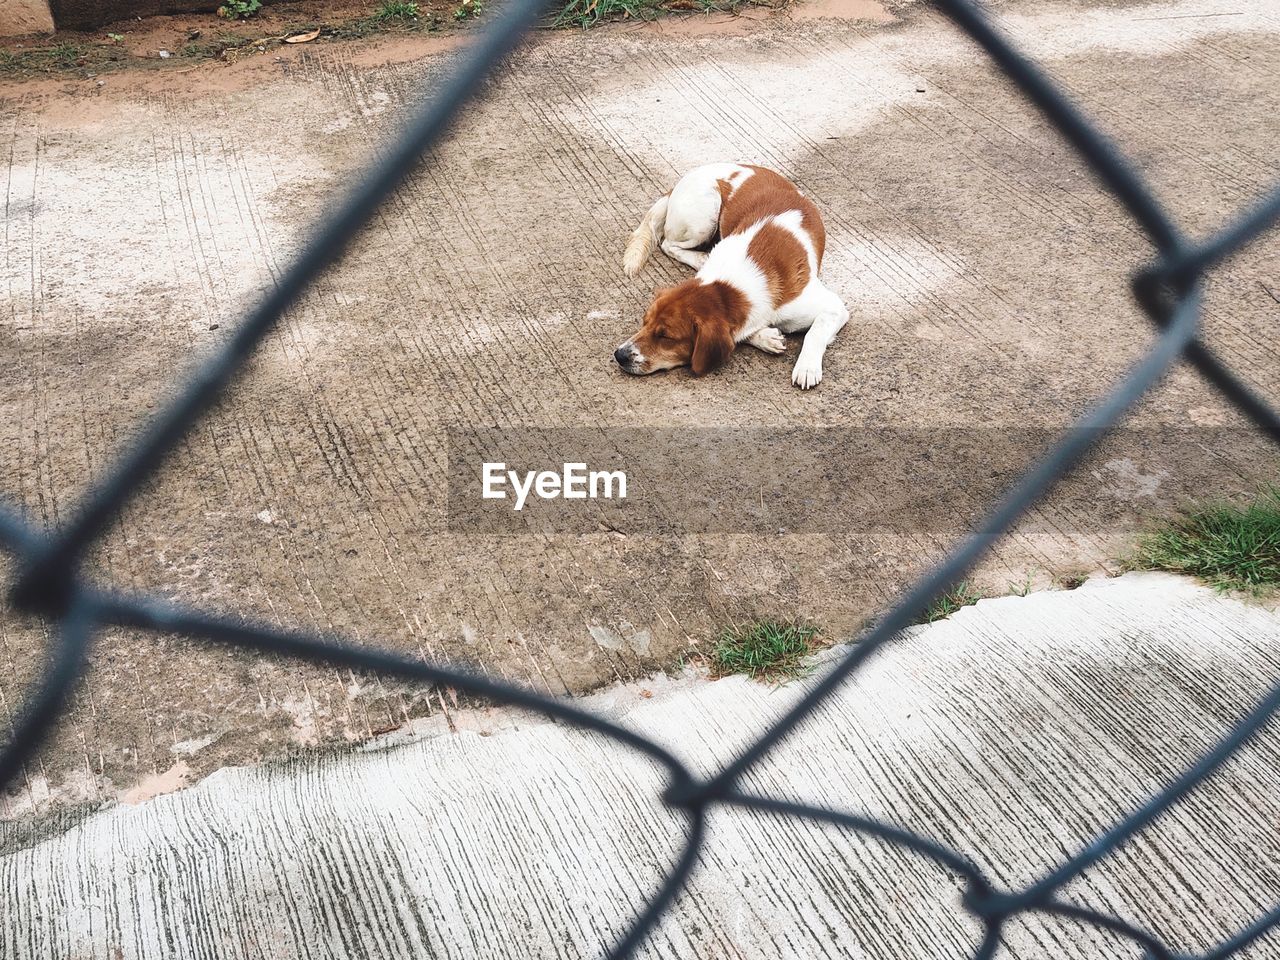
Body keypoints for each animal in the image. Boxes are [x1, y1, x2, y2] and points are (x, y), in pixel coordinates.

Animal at [611, 163, 844, 389]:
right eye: (645, 322)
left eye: (665, 336)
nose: (619, 355)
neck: (728, 287)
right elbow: (736, 335)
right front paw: (765, 337)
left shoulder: (834, 307)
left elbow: (814, 332)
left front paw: (807, 367)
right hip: (704, 218)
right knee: (669, 244)